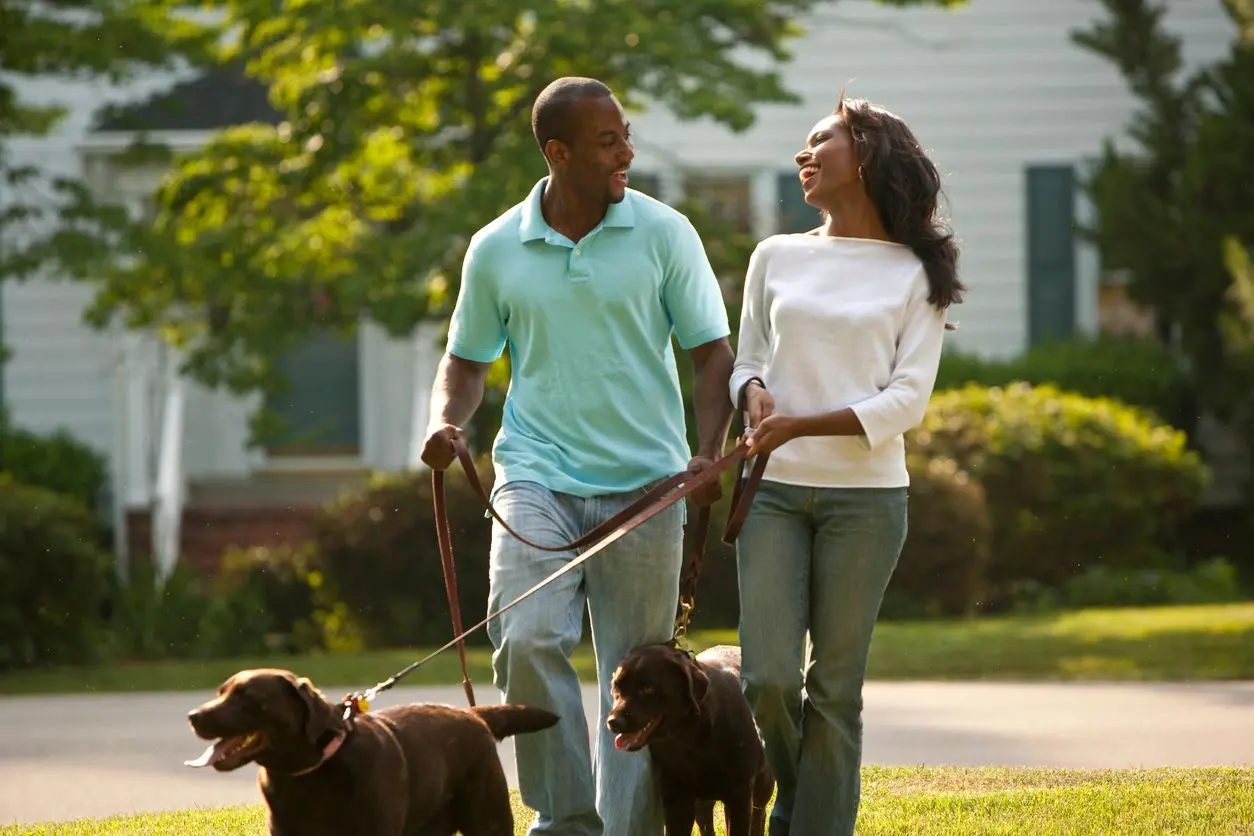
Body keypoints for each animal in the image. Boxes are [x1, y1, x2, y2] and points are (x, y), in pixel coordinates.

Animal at [185, 666, 559, 836]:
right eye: (221, 692)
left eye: (247, 697)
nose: (193, 716)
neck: (309, 776)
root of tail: (473, 714)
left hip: (487, 817)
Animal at [609, 646, 772, 832]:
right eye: (616, 686)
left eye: (647, 688)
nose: (613, 721)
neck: (688, 738)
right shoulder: (676, 798)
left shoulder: (740, 794)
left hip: (762, 785)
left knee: (759, 816)